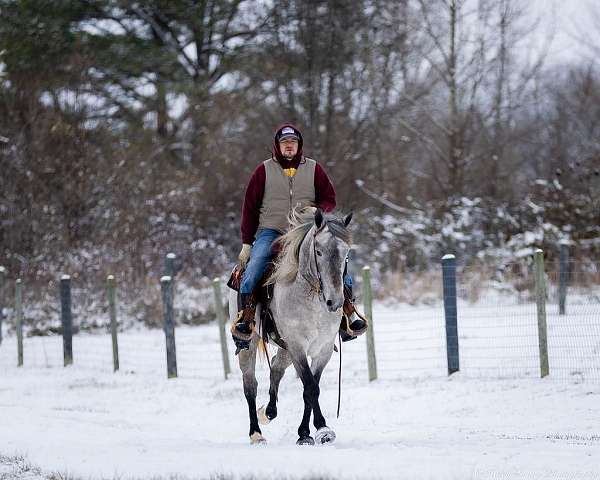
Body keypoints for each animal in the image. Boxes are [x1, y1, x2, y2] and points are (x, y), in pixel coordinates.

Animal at [229, 208, 352, 444]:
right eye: (319, 251)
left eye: (346, 253)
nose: (335, 302)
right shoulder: (297, 346)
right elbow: (310, 387)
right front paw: (322, 429)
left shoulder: (322, 349)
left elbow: (310, 387)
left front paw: (305, 433)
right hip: (250, 345)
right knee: (250, 385)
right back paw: (256, 433)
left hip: (285, 349)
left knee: (276, 369)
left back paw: (268, 412)